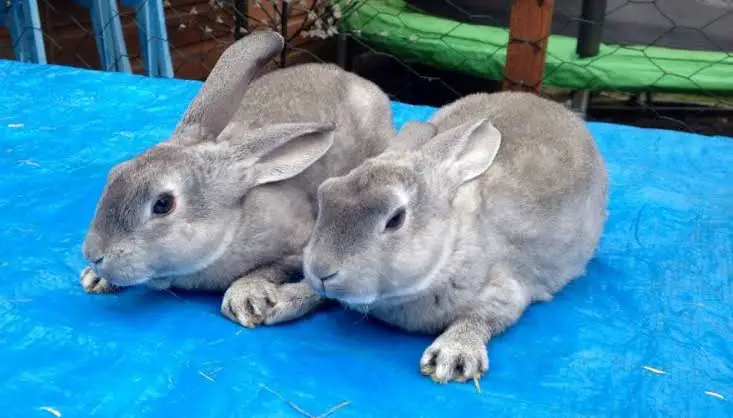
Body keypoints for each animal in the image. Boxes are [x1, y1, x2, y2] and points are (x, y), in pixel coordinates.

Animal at [80, 30, 394, 330]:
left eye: (163, 204)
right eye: (116, 173)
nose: (94, 255)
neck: (231, 224)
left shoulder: (298, 248)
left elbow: (270, 269)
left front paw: (245, 299)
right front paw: (94, 279)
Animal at [300, 92, 608, 386]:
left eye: (396, 219)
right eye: (326, 192)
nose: (321, 271)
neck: (452, 245)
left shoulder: (505, 291)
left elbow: (478, 318)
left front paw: (453, 357)